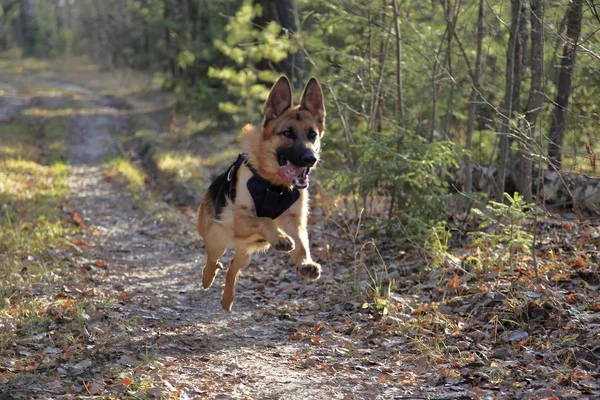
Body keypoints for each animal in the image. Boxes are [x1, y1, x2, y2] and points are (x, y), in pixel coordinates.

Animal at [197, 76, 326, 312]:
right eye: (287, 133)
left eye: (312, 134)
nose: (310, 158)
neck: (275, 186)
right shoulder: (241, 218)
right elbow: (264, 219)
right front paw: (281, 238)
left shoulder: (295, 221)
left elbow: (302, 244)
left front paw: (305, 263)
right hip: (219, 237)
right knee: (211, 258)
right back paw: (208, 277)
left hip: (244, 252)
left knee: (233, 267)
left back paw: (227, 299)